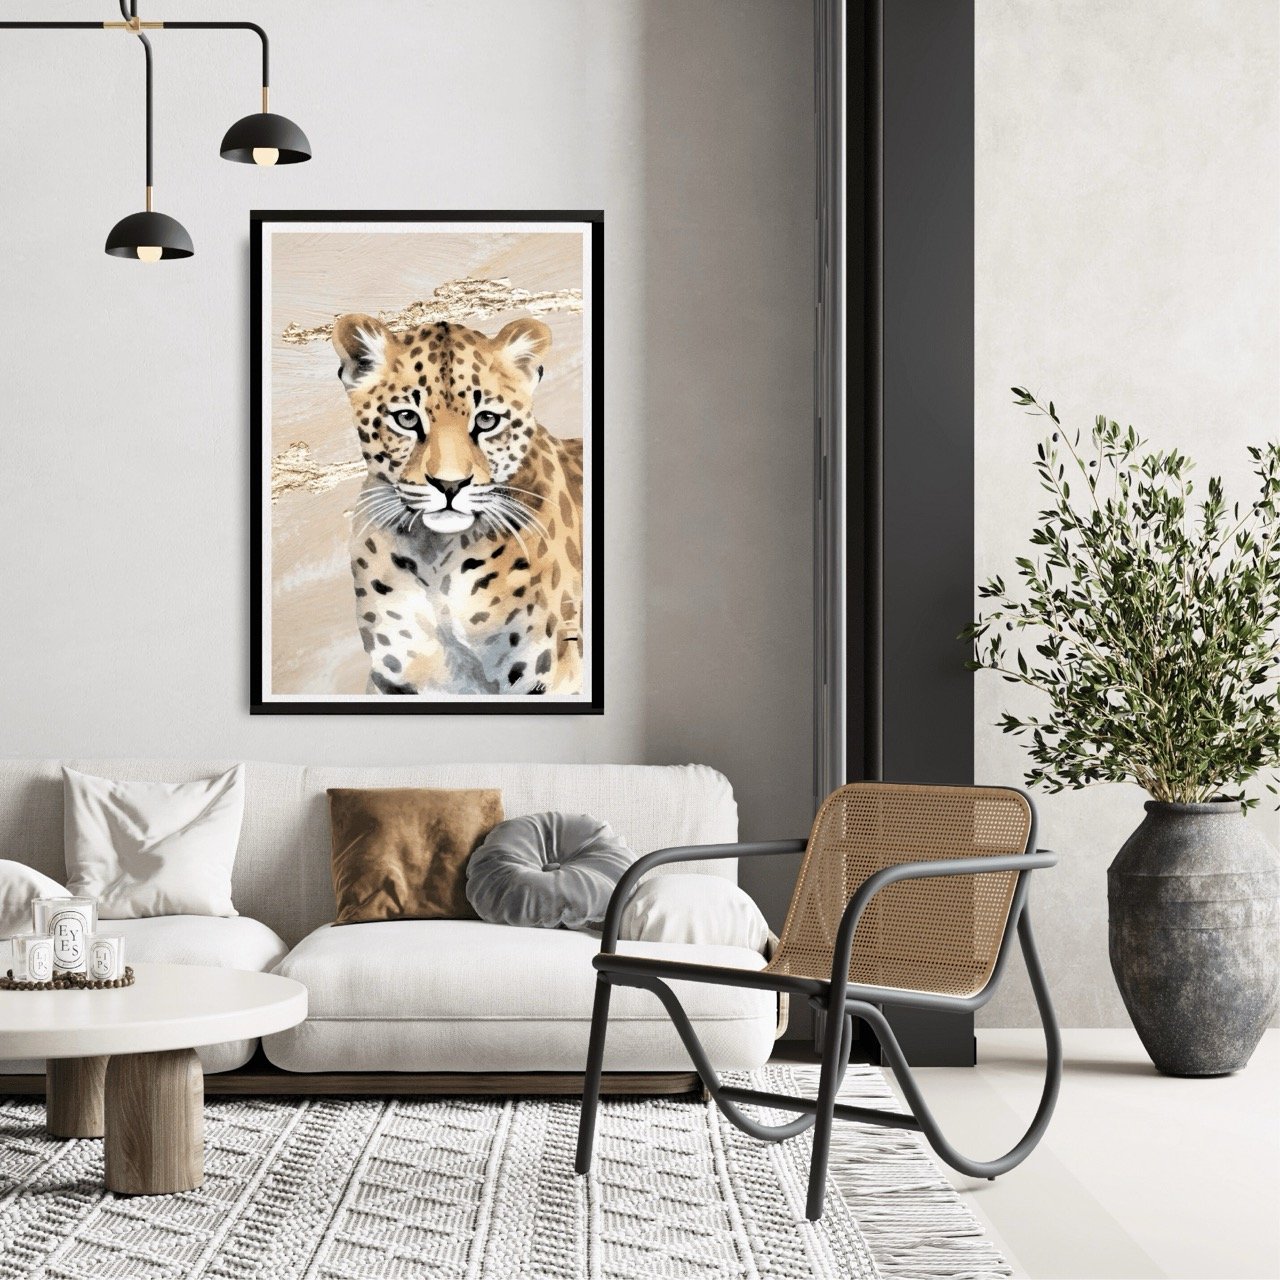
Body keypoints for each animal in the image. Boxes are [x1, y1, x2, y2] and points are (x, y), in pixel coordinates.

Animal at [330, 312, 585, 697]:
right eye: (407, 418)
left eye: (486, 420)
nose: (449, 484)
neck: (434, 560)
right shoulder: (395, 680)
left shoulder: (552, 676)